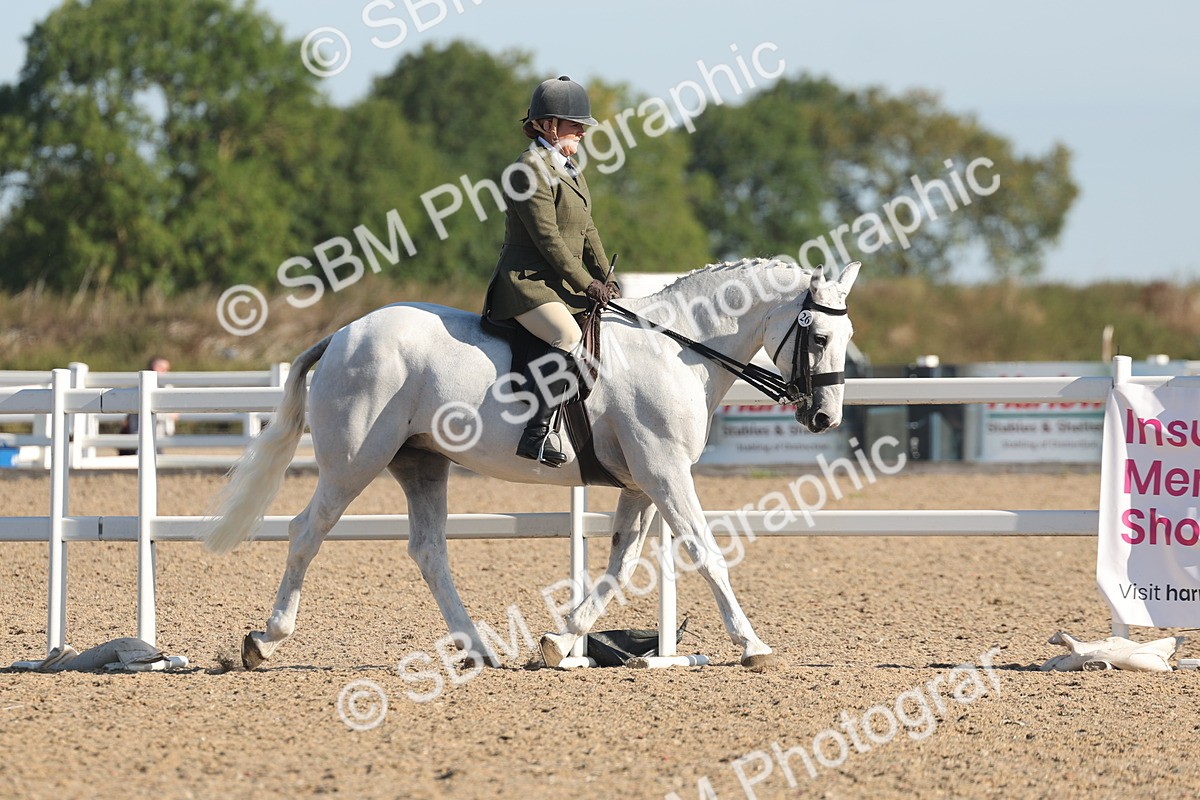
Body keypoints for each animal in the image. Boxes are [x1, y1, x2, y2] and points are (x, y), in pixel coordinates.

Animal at [202, 258, 861, 670]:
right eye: (819, 338)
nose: (825, 418)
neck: (677, 348)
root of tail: (343, 334)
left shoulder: (643, 482)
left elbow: (620, 565)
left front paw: (559, 640)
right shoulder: (665, 473)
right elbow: (706, 551)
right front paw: (752, 645)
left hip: (421, 464)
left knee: (428, 551)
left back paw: (479, 650)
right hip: (352, 464)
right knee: (306, 532)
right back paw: (266, 640)